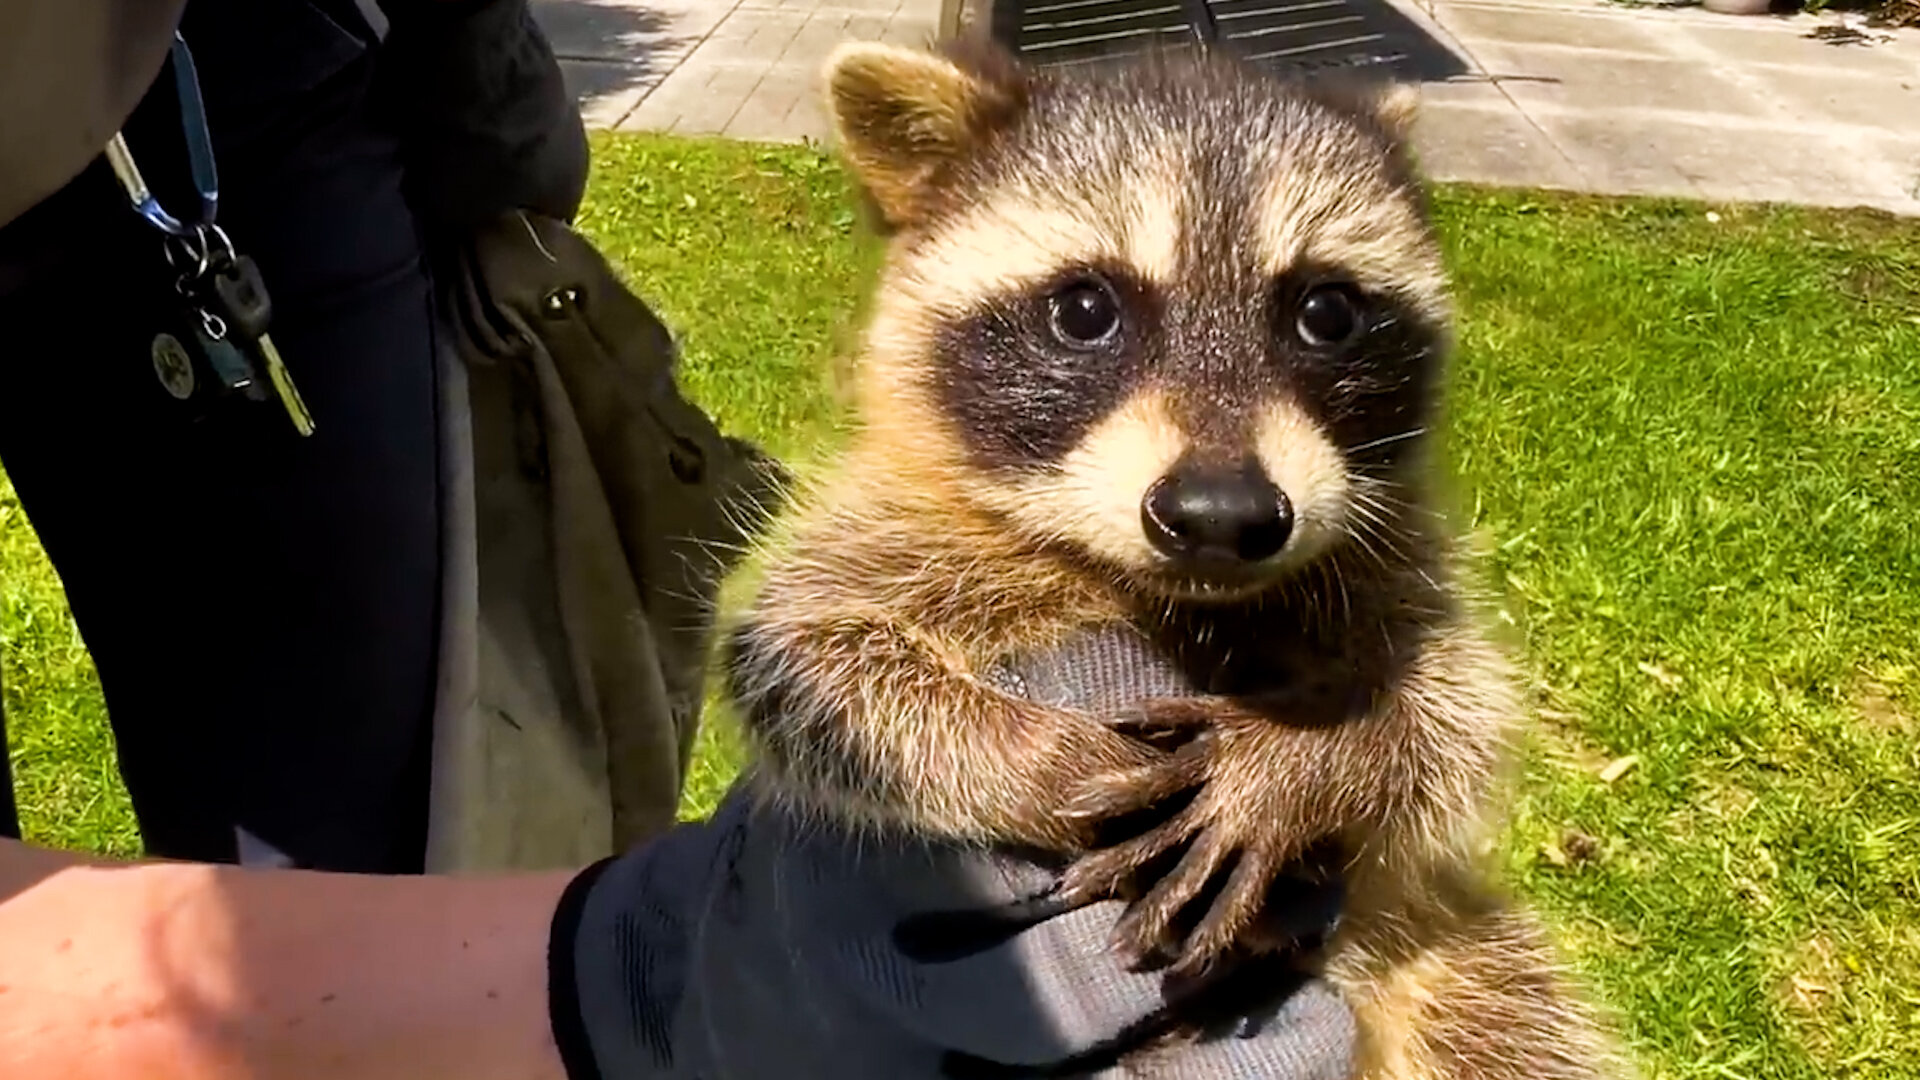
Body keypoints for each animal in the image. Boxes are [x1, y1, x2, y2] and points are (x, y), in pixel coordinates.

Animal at [721, 35, 1630, 1080]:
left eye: (1327, 311)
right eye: (1084, 309)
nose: (1221, 516)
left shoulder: (1399, 562)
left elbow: (1457, 709)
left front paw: (1319, 754)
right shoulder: (887, 528)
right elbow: (798, 659)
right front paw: (1035, 757)